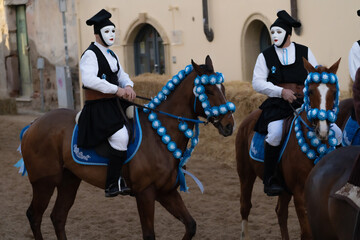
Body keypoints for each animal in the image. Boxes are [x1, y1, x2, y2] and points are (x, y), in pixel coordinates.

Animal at [19, 55, 235, 239]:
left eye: (223, 88)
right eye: (208, 91)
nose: (229, 125)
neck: (158, 134)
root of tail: (34, 124)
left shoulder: (166, 192)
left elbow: (191, 225)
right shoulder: (145, 193)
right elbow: (149, 234)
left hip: (69, 180)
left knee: (58, 216)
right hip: (44, 182)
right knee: (34, 216)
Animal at [236, 58, 340, 240]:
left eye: (333, 93)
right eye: (310, 91)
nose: (322, 130)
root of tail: (247, 119)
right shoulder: (300, 194)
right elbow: (307, 233)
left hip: (283, 188)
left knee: (280, 213)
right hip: (245, 174)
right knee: (245, 206)